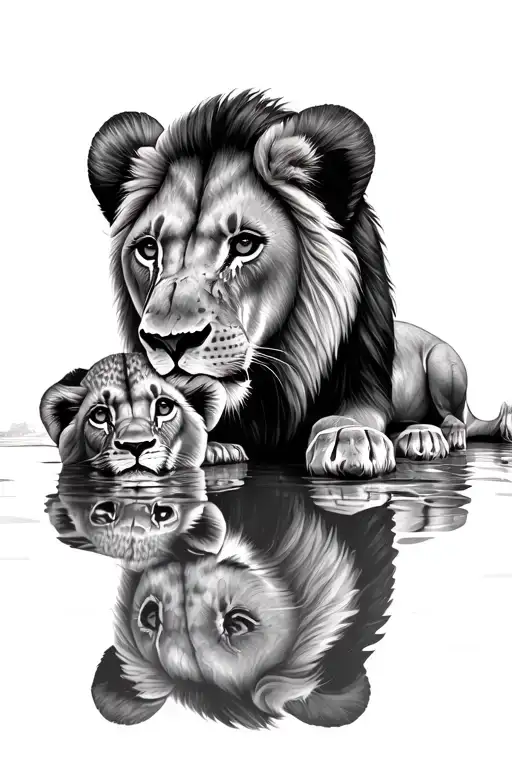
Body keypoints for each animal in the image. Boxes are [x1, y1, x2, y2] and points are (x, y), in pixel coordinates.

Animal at [87, 90, 512, 479]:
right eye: (148, 249)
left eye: (244, 244)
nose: (170, 341)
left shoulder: (365, 388)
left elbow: (352, 416)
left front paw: (348, 439)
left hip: (445, 363)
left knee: (456, 417)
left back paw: (431, 435)